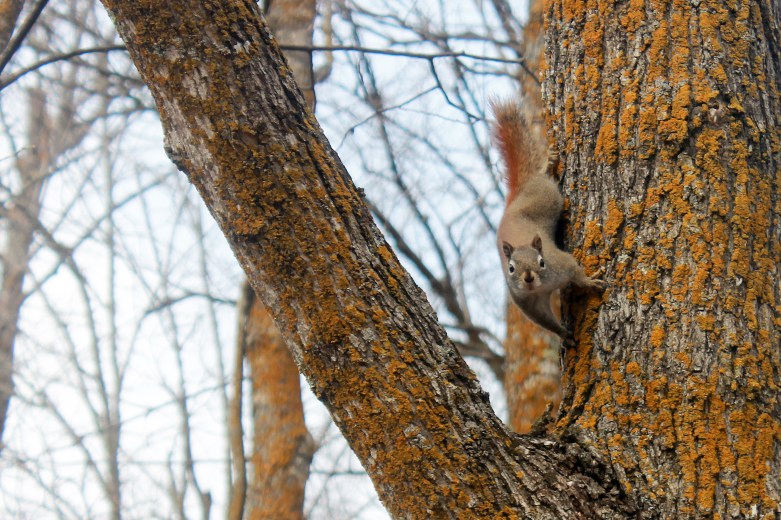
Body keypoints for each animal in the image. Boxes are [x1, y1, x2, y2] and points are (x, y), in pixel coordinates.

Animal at [493, 100, 606, 338]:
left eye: (542, 262)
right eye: (511, 268)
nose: (528, 278)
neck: (541, 287)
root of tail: (516, 196)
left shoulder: (561, 264)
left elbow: (576, 272)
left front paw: (590, 282)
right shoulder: (529, 303)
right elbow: (545, 321)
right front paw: (564, 335)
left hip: (547, 196)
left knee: (543, 177)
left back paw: (547, 166)